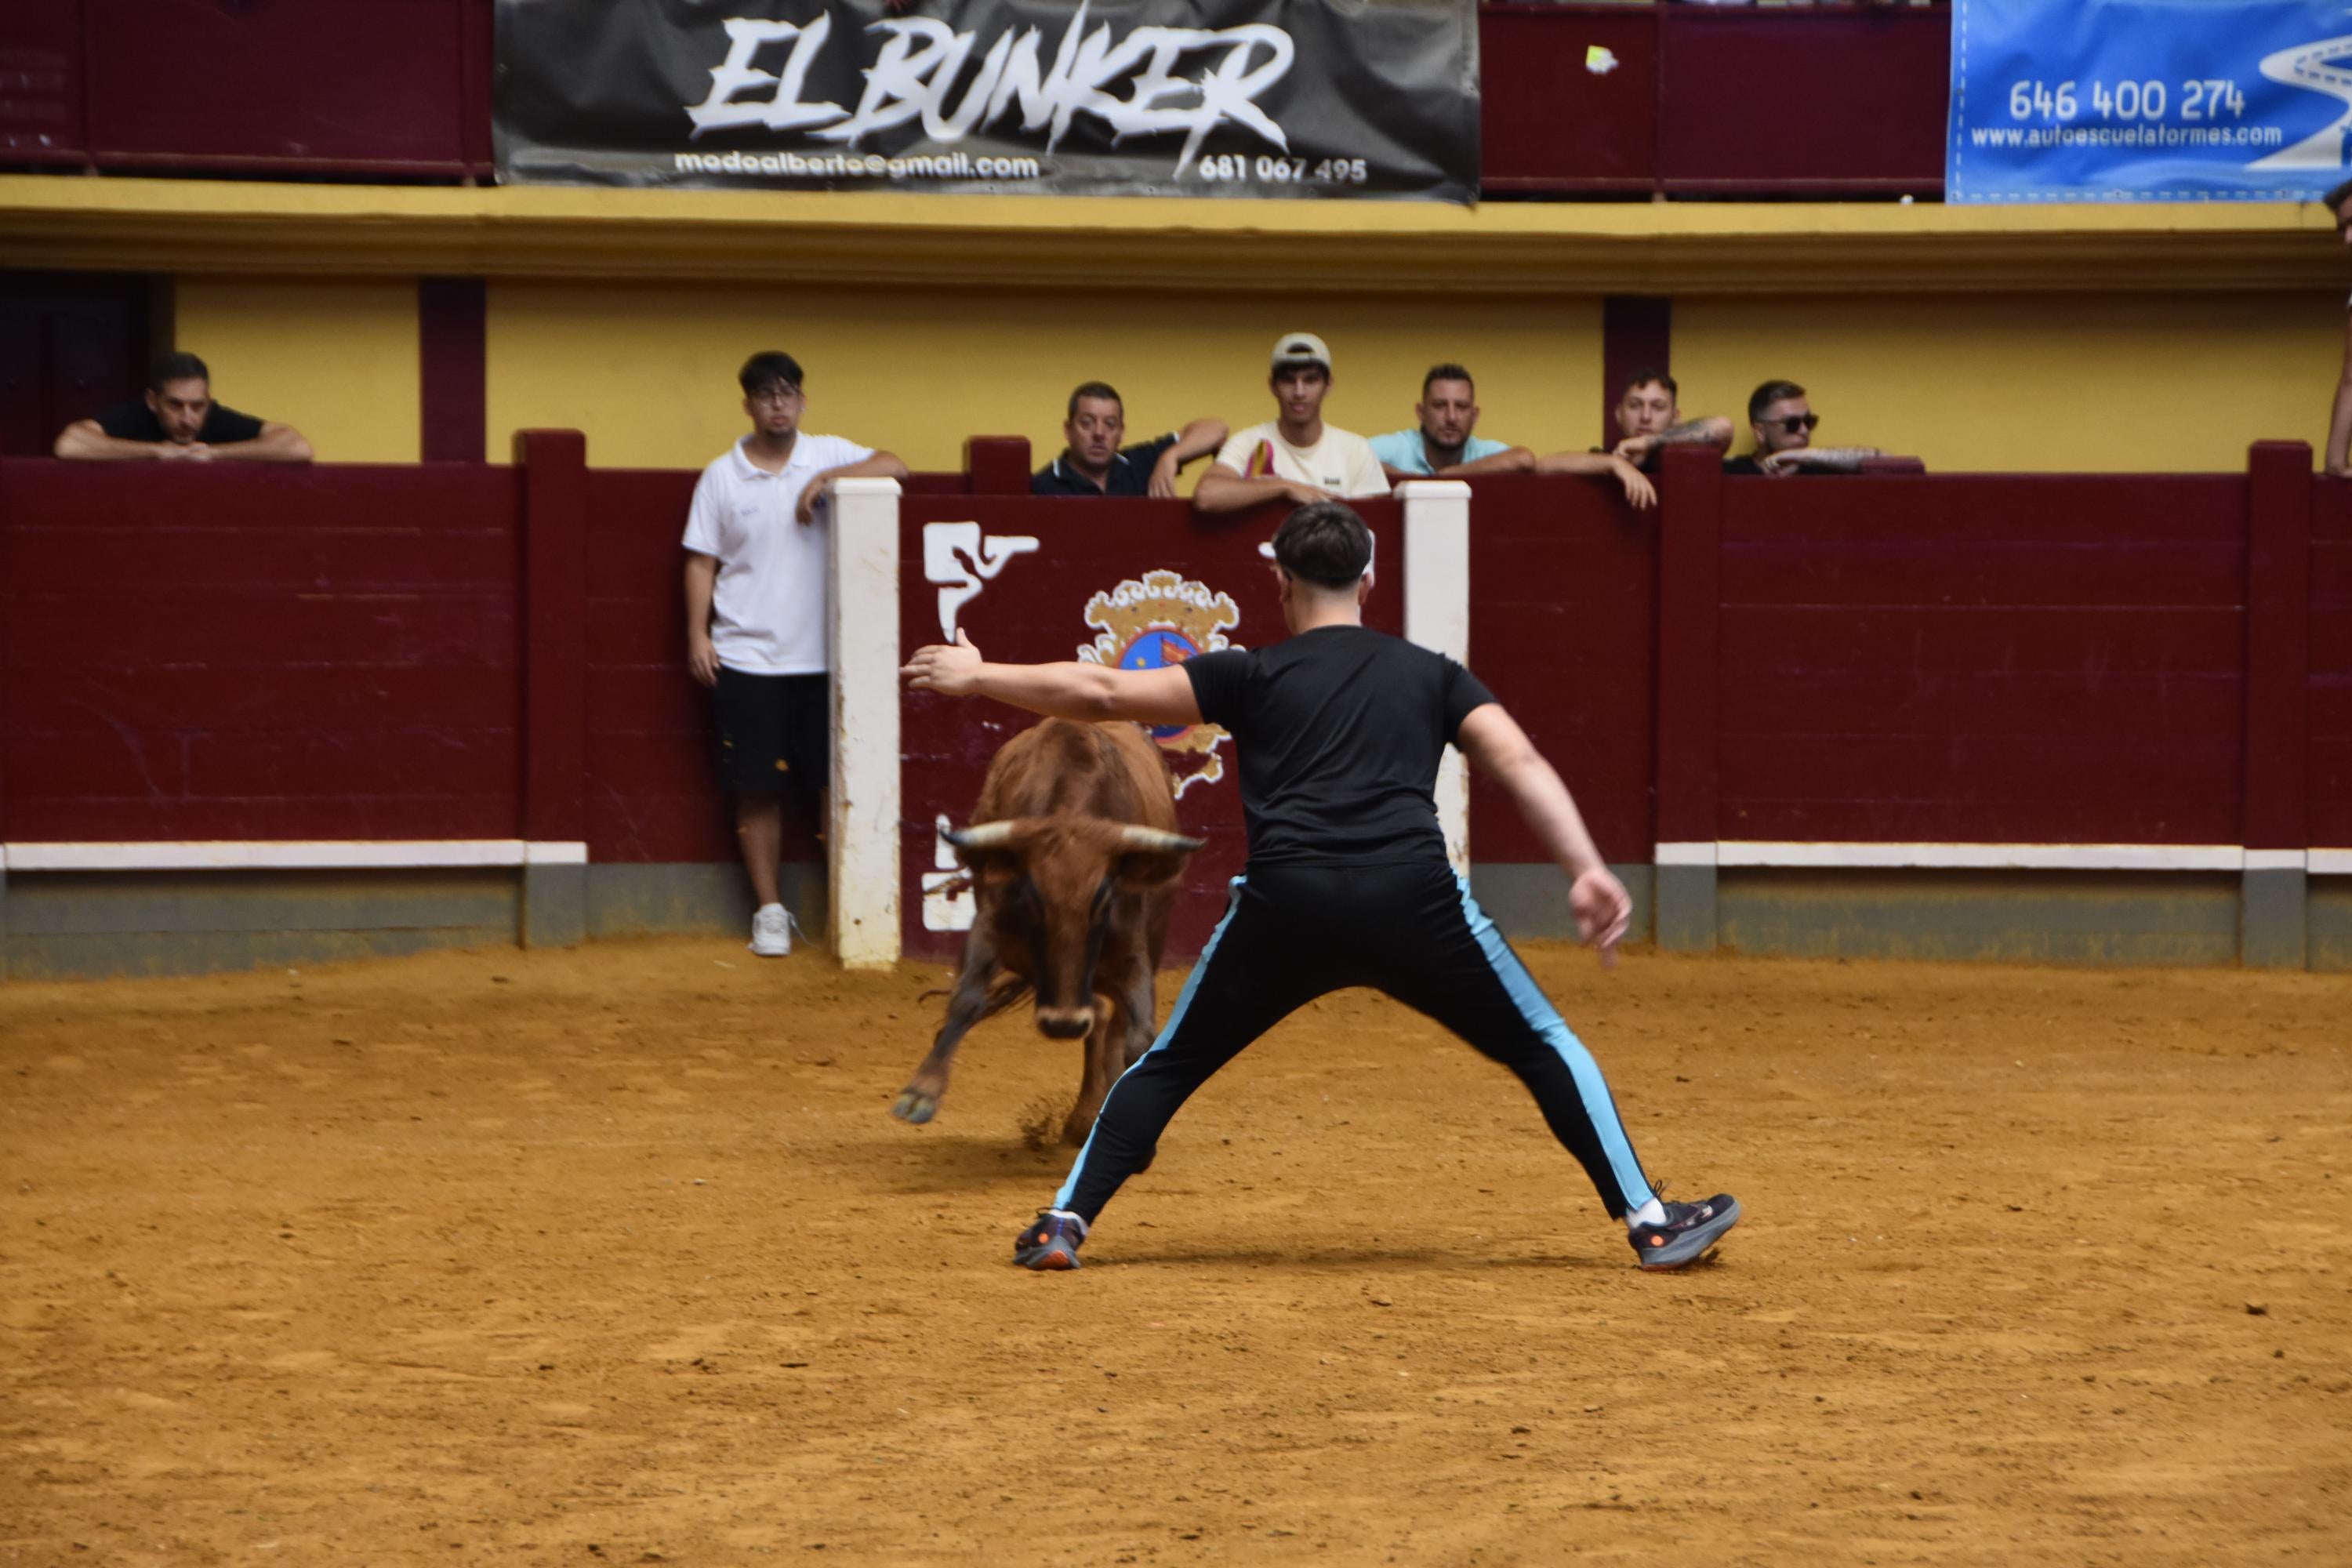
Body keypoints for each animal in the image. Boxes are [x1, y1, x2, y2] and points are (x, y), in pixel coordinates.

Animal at [889, 719, 1204, 1147]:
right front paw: (921, 1092)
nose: (1063, 1024)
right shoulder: (989, 928)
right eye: (1031, 894)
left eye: (1104, 895)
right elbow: (966, 998)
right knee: (1099, 1015)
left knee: (1110, 1023)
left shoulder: (1134, 953)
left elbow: (1137, 1035)